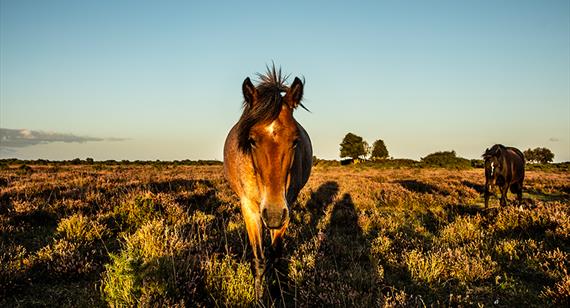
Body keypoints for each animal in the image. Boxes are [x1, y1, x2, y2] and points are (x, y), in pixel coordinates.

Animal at [222, 65, 310, 298]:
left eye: (295, 141)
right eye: (251, 140)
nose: (273, 214)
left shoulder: (288, 206)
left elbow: (276, 256)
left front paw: (280, 293)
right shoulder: (250, 209)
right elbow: (259, 260)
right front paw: (260, 298)